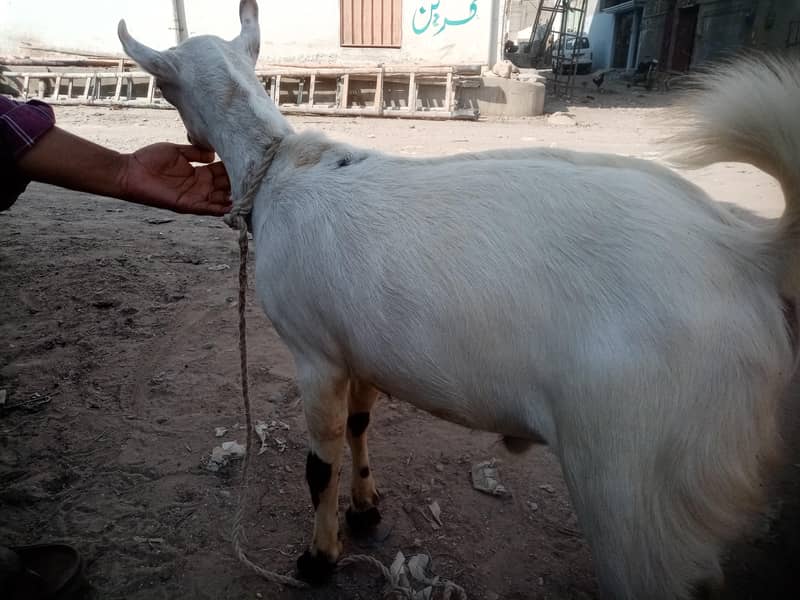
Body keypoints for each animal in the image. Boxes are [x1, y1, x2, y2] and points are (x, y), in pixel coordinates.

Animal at [118, 2, 800, 597]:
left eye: (167, 88)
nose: (193, 145)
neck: (280, 165)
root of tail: (745, 247)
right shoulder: (361, 348)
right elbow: (361, 425)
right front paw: (366, 510)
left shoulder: (315, 353)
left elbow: (320, 464)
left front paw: (319, 558)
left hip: (637, 476)